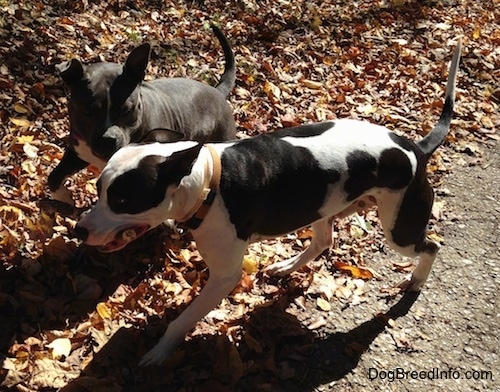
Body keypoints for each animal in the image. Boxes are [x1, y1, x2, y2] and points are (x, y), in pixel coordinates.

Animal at [48, 26, 236, 205]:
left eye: (126, 110)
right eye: (87, 111)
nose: (109, 139)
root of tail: (218, 92)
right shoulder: (78, 151)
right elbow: (54, 177)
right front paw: (64, 198)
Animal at [74, 41, 460, 366]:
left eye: (123, 199)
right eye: (99, 188)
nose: (79, 230)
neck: (208, 180)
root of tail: (415, 148)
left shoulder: (224, 277)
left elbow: (183, 319)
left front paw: (160, 350)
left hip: (399, 228)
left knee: (430, 246)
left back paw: (415, 282)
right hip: (324, 206)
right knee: (323, 241)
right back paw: (286, 267)